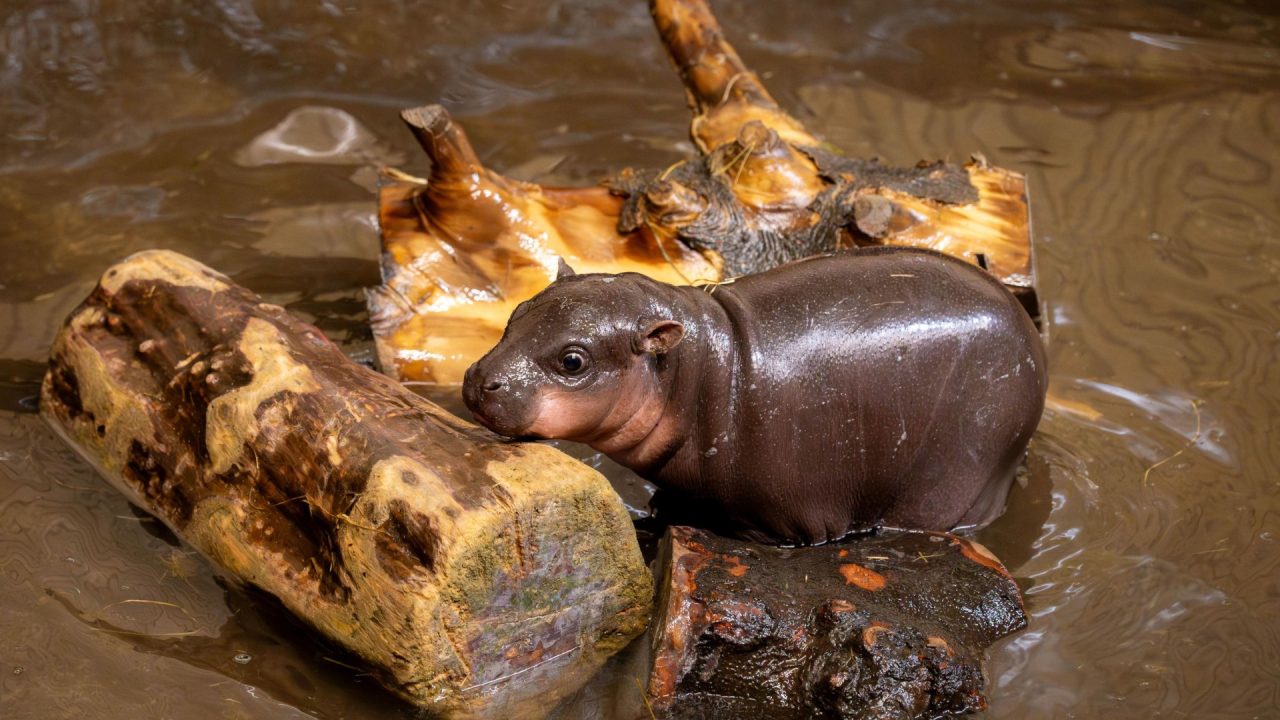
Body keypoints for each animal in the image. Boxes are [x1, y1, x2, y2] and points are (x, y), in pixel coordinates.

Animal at [463, 248, 1047, 545]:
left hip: (956, 474)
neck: (700, 371)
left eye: (573, 361)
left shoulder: (793, 517)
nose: (477, 379)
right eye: (517, 312)